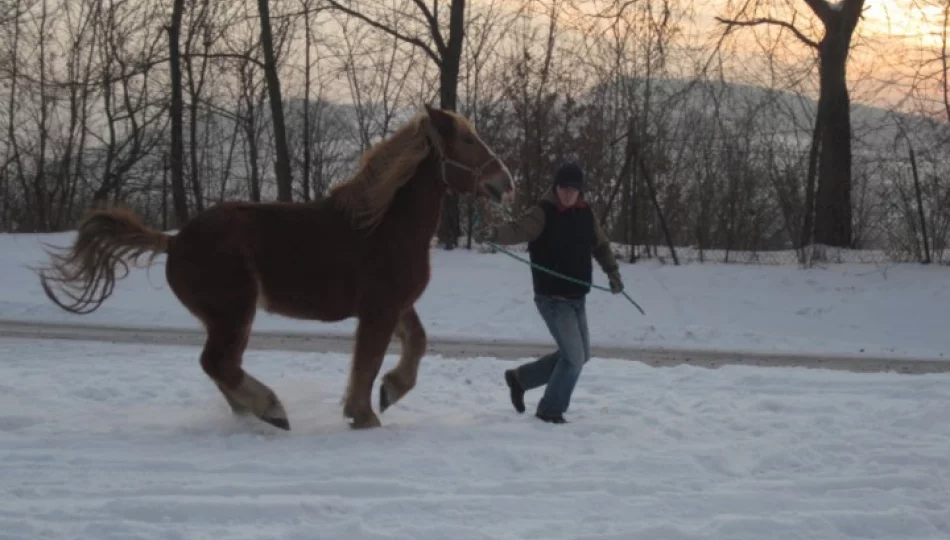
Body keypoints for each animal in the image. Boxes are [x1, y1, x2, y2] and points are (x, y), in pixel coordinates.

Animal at [37, 105, 516, 430]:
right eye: (467, 141)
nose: (506, 182)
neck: (384, 225)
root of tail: (174, 241)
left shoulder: (396, 306)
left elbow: (416, 343)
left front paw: (389, 392)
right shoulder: (379, 310)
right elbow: (367, 361)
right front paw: (364, 414)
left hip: (224, 317)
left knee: (219, 367)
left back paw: (251, 413)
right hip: (235, 312)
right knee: (218, 363)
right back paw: (271, 409)